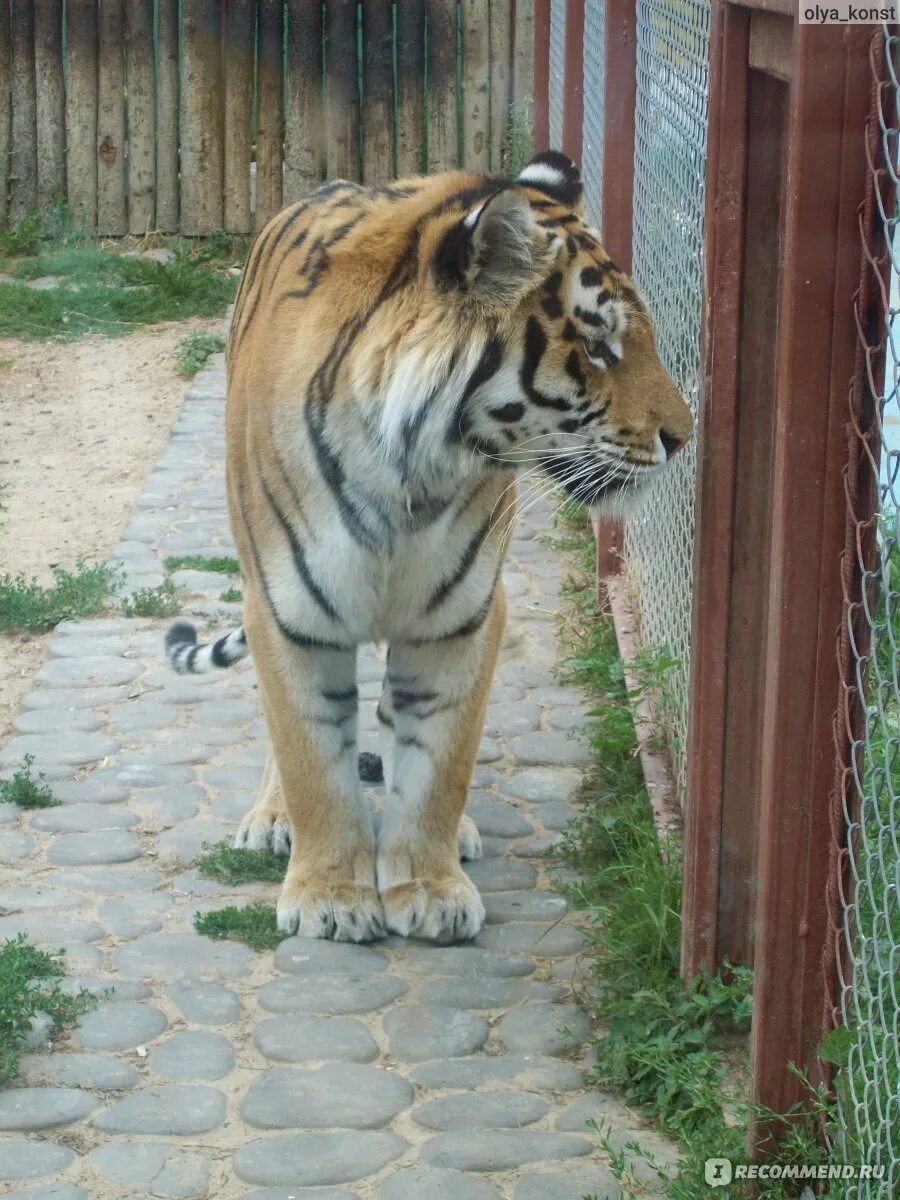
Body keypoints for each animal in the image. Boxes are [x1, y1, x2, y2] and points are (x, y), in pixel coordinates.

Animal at [165, 150, 696, 940]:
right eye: (599, 346)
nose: (684, 437)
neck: (411, 480)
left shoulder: (463, 616)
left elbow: (439, 761)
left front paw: (427, 886)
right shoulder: (290, 610)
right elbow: (310, 755)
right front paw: (331, 895)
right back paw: (272, 817)